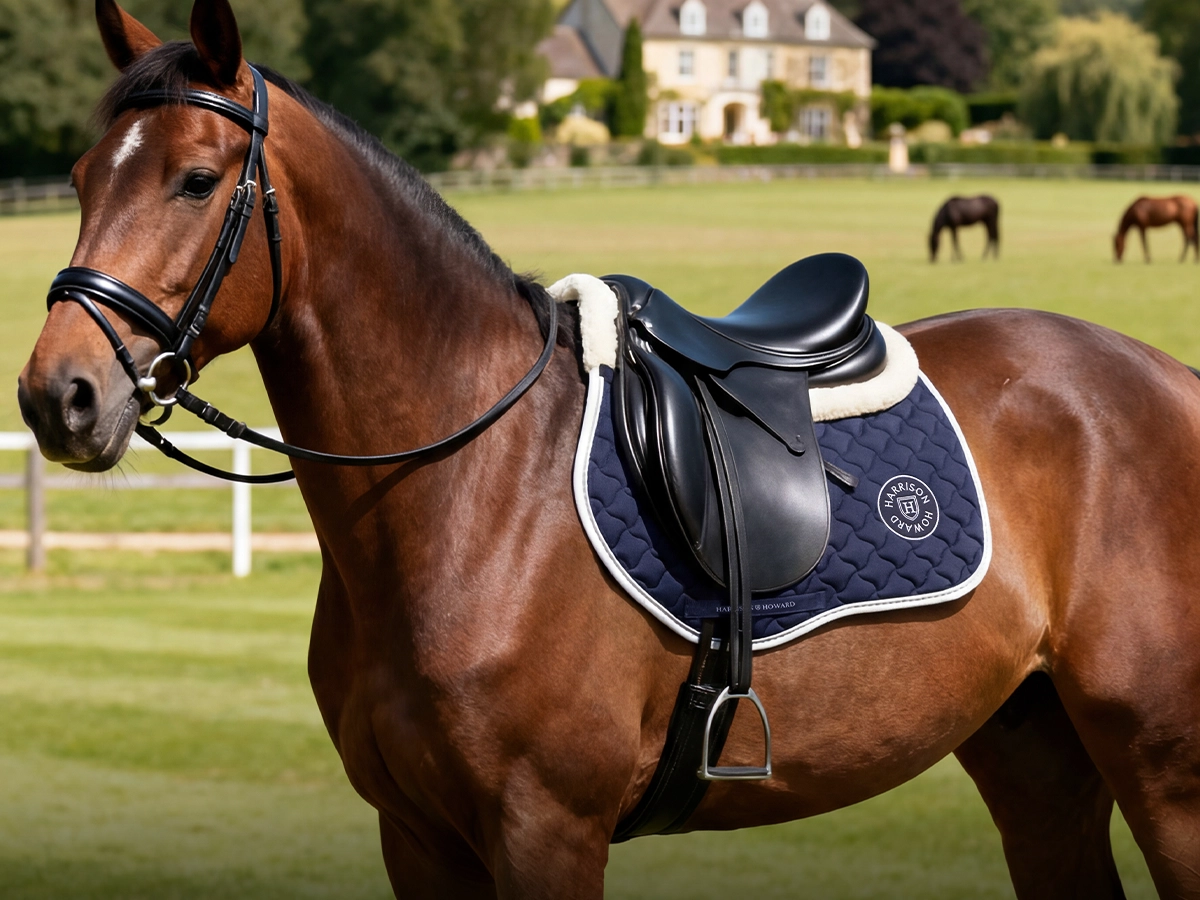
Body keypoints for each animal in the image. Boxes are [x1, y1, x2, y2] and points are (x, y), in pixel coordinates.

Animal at [17, 2, 1200, 896]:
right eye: (79, 176)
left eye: (196, 180)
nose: (57, 396)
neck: (473, 493)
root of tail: (1165, 377)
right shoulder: (419, 840)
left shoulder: (547, 831)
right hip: (1035, 756)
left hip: (1164, 769)